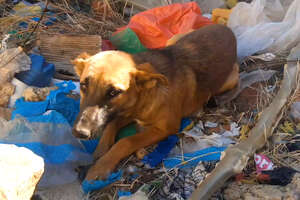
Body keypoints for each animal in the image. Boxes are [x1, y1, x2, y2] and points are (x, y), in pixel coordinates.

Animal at [71, 24, 238, 180]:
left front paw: (101, 166)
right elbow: (111, 125)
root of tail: (227, 29)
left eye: (114, 92)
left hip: (230, 79)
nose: (80, 132)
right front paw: (101, 151)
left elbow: (126, 141)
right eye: (83, 85)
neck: (145, 97)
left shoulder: (165, 128)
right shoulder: (128, 111)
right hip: (174, 39)